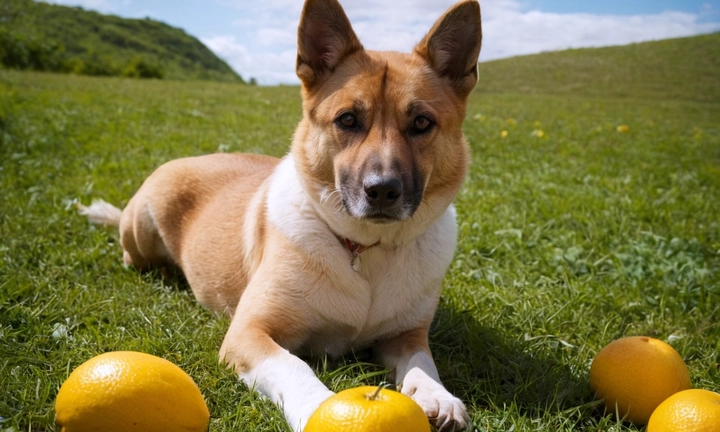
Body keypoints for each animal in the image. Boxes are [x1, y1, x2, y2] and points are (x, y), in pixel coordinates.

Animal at [79, 1, 480, 430]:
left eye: (422, 122)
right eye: (348, 119)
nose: (383, 190)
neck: (363, 250)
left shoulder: (406, 335)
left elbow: (423, 362)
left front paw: (437, 396)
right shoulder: (249, 332)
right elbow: (294, 367)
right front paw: (319, 408)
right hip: (142, 229)